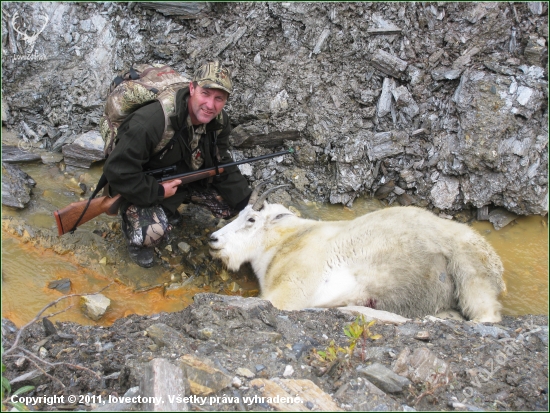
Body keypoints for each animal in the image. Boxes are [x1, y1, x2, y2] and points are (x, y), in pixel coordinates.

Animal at [211, 185, 508, 320]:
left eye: (251, 219)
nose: (213, 239)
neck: (285, 241)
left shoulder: (294, 284)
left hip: (470, 267)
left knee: (486, 313)